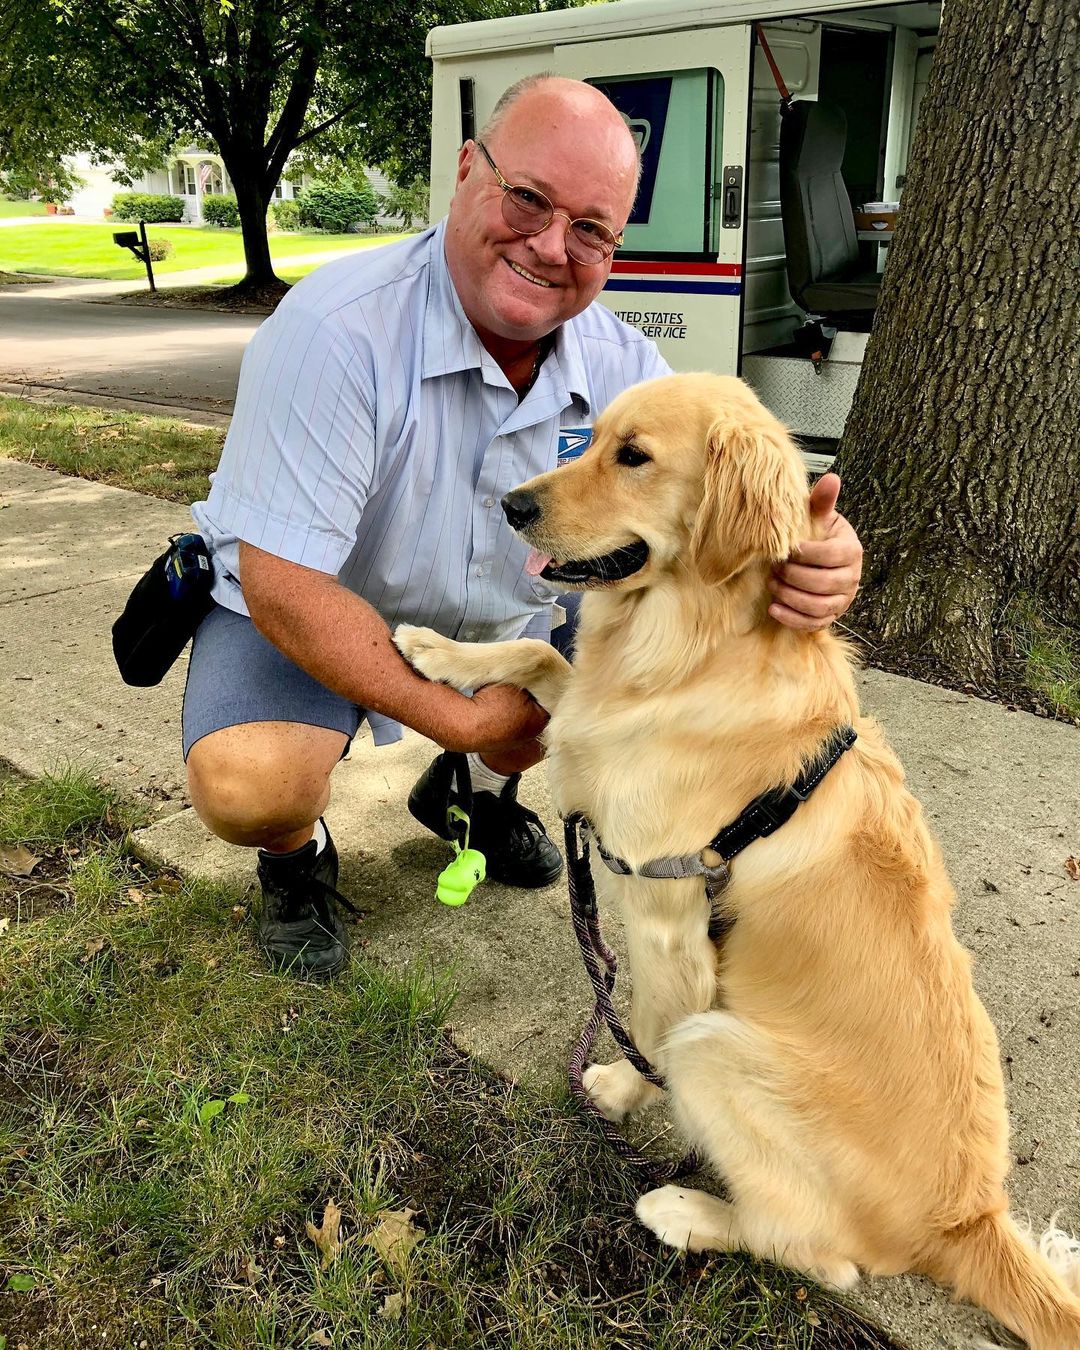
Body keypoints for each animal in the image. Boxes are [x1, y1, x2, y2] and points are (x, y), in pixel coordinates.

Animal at [396, 372, 1080, 1350]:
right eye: (589, 438)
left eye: (634, 456)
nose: (512, 504)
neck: (692, 645)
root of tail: (967, 1222)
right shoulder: (592, 714)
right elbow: (531, 648)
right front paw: (437, 651)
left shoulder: (662, 911)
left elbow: (645, 1024)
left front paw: (615, 1087)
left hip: (719, 1044)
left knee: (819, 1255)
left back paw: (684, 1210)